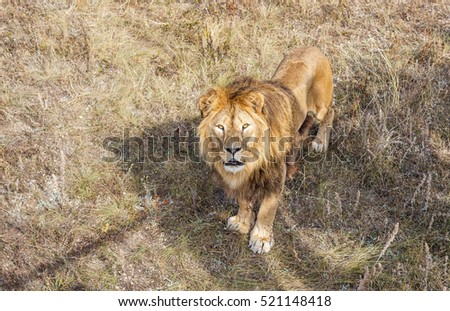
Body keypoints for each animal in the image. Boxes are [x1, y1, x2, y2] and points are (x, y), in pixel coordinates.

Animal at [198, 47, 334, 255]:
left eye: (245, 126)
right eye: (220, 127)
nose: (232, 149)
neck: (253, 162)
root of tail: (313, 47)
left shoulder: (275, 176)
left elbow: (266, 210)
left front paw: (261, 239)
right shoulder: (243, 178)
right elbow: (244, 202)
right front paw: (242, 223)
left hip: (320, 106)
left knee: (331, 111)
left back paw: (319, 143)